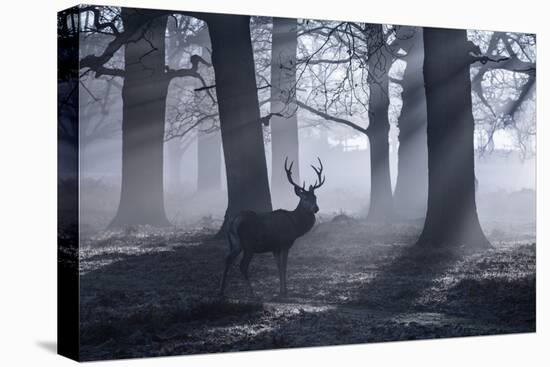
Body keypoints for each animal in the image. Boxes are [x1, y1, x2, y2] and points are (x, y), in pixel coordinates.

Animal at [218, 157, 326, 300]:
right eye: (304, 198)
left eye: (315, 197)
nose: (316, 208)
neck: (294, 225)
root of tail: (234, 222)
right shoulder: (285, 243)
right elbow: (284, 266)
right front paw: (284, 291)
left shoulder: (275, 247)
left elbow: (278, 266)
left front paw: (281, 290)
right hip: (248, 244)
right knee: (242, 266)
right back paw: (253, 293)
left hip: (235, 243)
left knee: (228, 259)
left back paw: (221, 291)